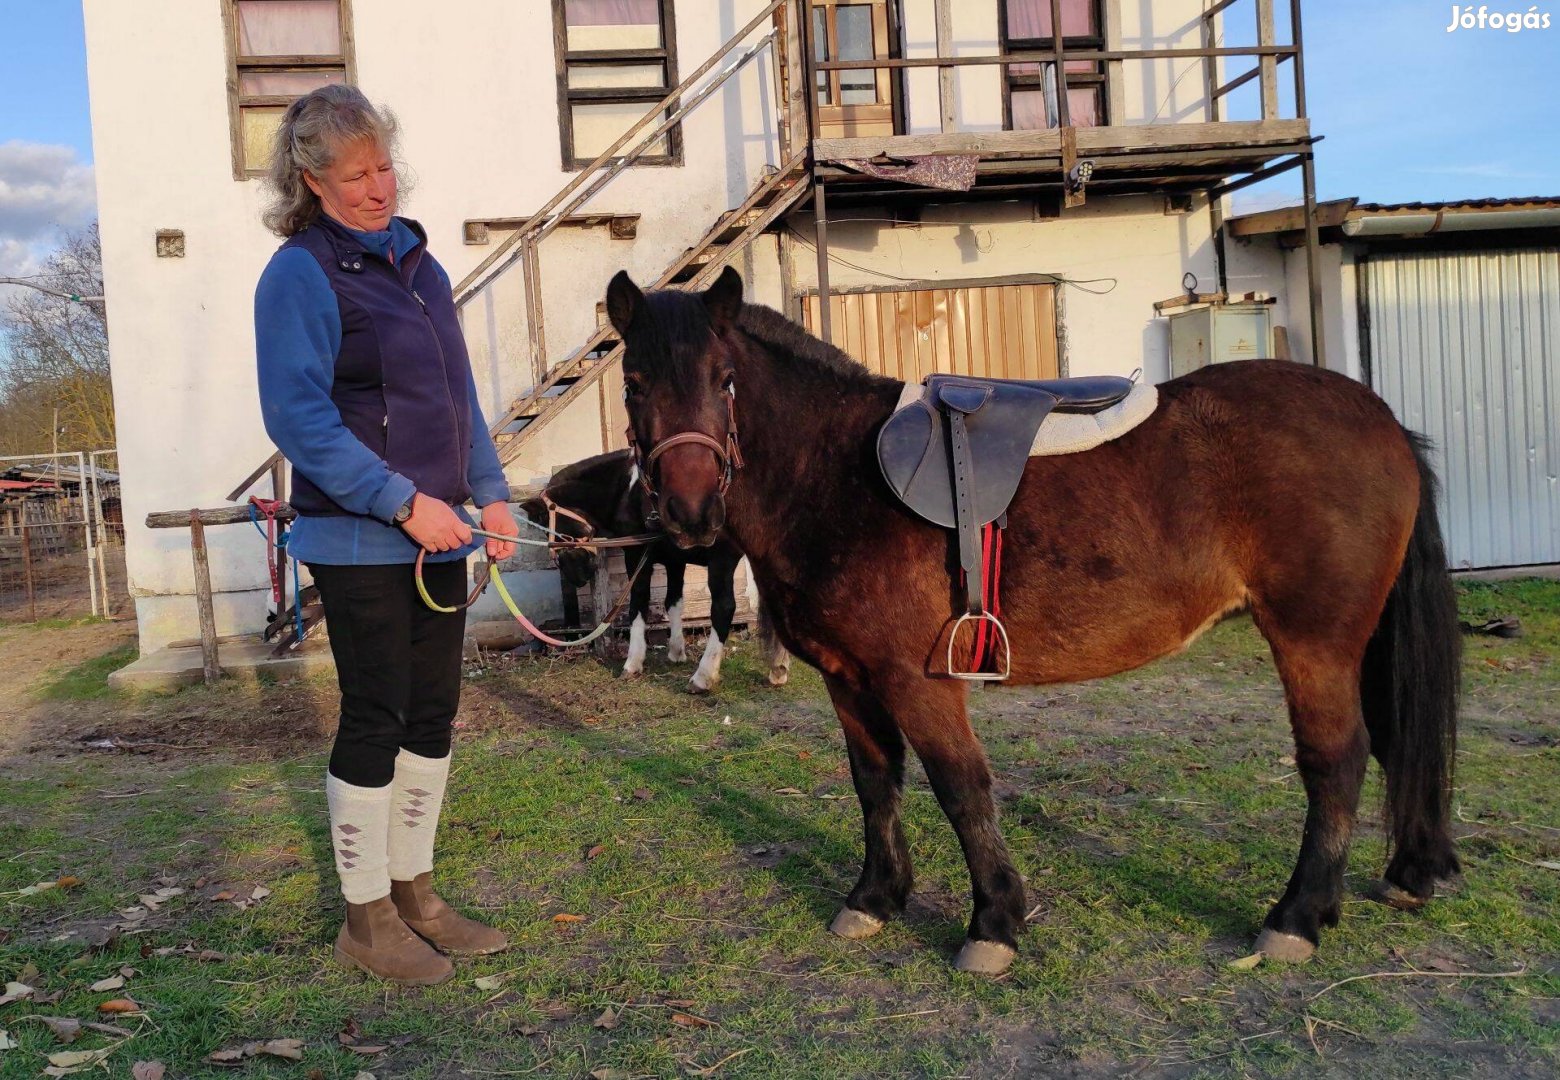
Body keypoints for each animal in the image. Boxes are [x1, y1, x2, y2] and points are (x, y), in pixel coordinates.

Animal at [524, 446, 792, 692]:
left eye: (550, 526)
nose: (575, 576)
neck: (626, 490)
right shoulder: (675, 561)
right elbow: (673, 602)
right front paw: (676, 652)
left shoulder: (637, 557)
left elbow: (637, 604)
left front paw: (632, 663)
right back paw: (778, 669)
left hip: (721, 560)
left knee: (724, 608)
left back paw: (703, 677)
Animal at [599, 265, 1460, 973]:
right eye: (634, 383)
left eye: (724, 379)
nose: (689, 511)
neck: (835, 473)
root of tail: (1380, 419)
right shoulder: (850, 680)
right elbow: (875, 782)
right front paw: (875, 899)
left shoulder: (919, 680)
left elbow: (961, 787)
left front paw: (994, 925)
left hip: (1313, 642)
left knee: (1337, 760)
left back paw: (1296, 918)